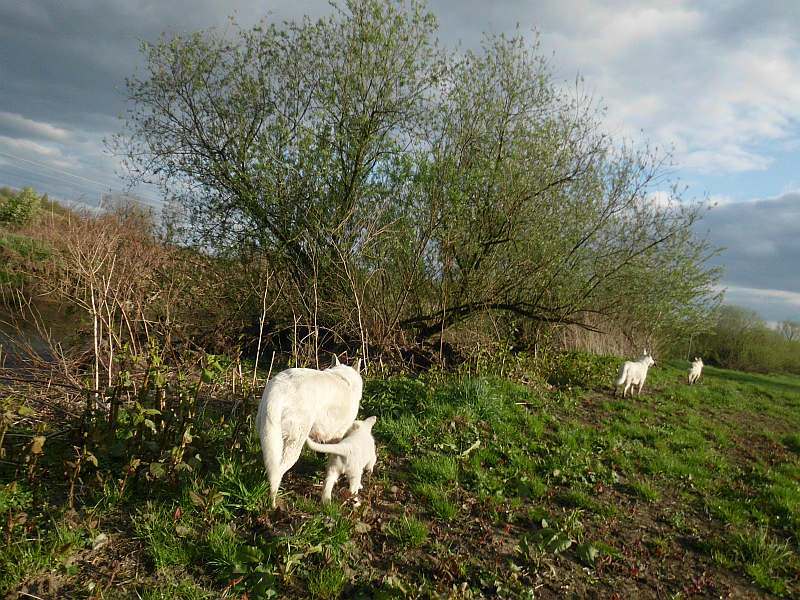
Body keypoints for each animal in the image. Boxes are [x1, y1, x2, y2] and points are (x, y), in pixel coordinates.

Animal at [256, 356, 362, 506]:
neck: (343, 378)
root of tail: (277, 392)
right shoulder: (338, 436)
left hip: (270, 437)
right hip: (294, 445)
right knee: (276, 473)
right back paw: (273, 504)